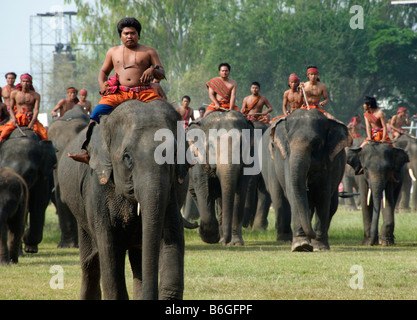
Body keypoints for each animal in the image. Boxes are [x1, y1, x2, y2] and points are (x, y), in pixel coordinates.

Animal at [58, 100, 187, 300]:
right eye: (127, 157)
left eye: (174, 155)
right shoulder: (97, 188)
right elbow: (109, 246)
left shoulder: (172, 192)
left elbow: (172, 234)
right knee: (91, 263)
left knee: (137, 256)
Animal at [188, 111, 254, 246]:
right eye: (211, 146)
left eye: (242, 145)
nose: (226, 242)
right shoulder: (199, 161)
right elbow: (203, 188)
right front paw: (209, 236)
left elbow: (240, 192)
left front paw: (236, 243)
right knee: (196, 194)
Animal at [262, 109, 350, 251]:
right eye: (288, 144)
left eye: (316, 144)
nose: (312, 234)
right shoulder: (286, 161)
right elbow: (293, 194)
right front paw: (301, 245)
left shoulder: (330, 162)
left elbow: (323, 195)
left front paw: (319, 246)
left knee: (332, 205)